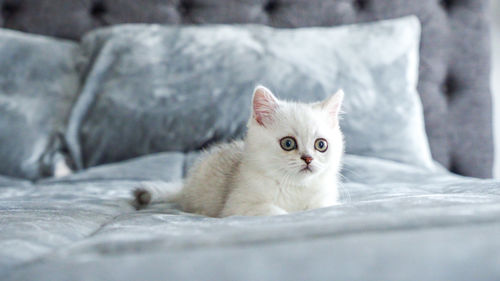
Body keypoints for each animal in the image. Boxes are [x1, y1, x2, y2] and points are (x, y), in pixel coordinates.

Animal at [133, 85, 344, 217]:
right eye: (288, 143)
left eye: (321, 145)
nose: (308, 158)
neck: (294, 186)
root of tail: (186, 187)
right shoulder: (237, 206)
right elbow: (276, 212)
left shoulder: (325, 202)